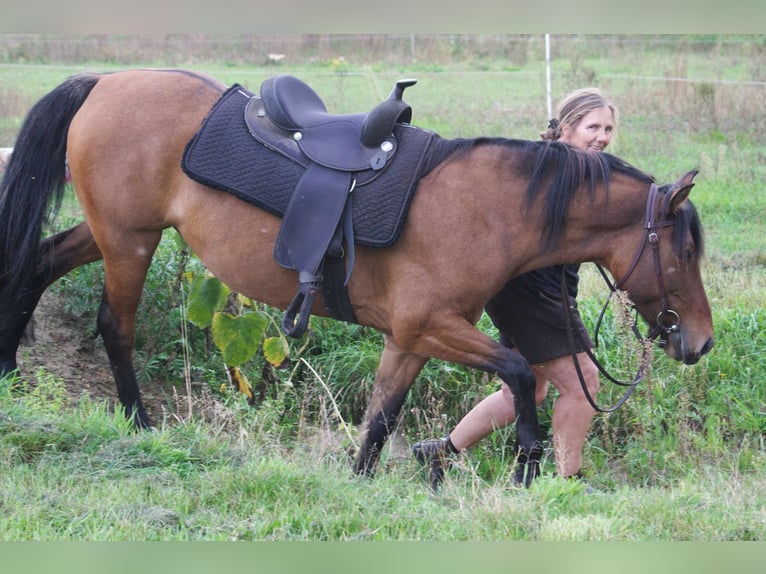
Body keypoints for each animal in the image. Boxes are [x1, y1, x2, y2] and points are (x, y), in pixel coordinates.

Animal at [0, 70, 712, 488]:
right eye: (683, 254)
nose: (700, 343)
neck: (485, 207)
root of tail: (107, 81)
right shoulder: (431, 326)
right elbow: (515, 371)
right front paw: (527, 463)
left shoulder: (410, 337)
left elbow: (380, 417)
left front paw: (363, 483)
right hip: (130, 241)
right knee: (113, 325)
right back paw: (140, 425)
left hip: (113, 231)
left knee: (37, 265)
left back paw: (9, 375)